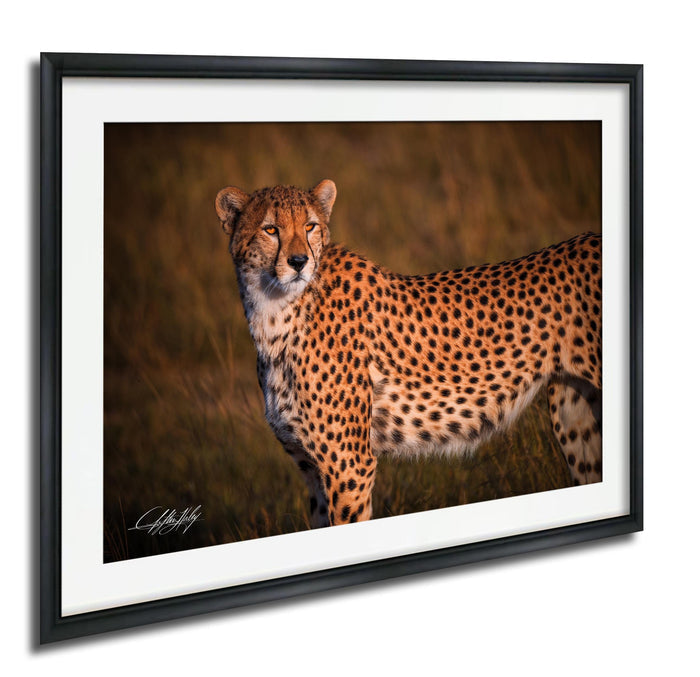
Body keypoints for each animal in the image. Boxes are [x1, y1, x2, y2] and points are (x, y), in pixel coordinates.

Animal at [216, 179, 602, 528]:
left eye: (310, 226)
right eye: (270, 229)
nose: (298, 262)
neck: (274, 312)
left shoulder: (348, 464)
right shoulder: (312, 469)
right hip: (576, 415)